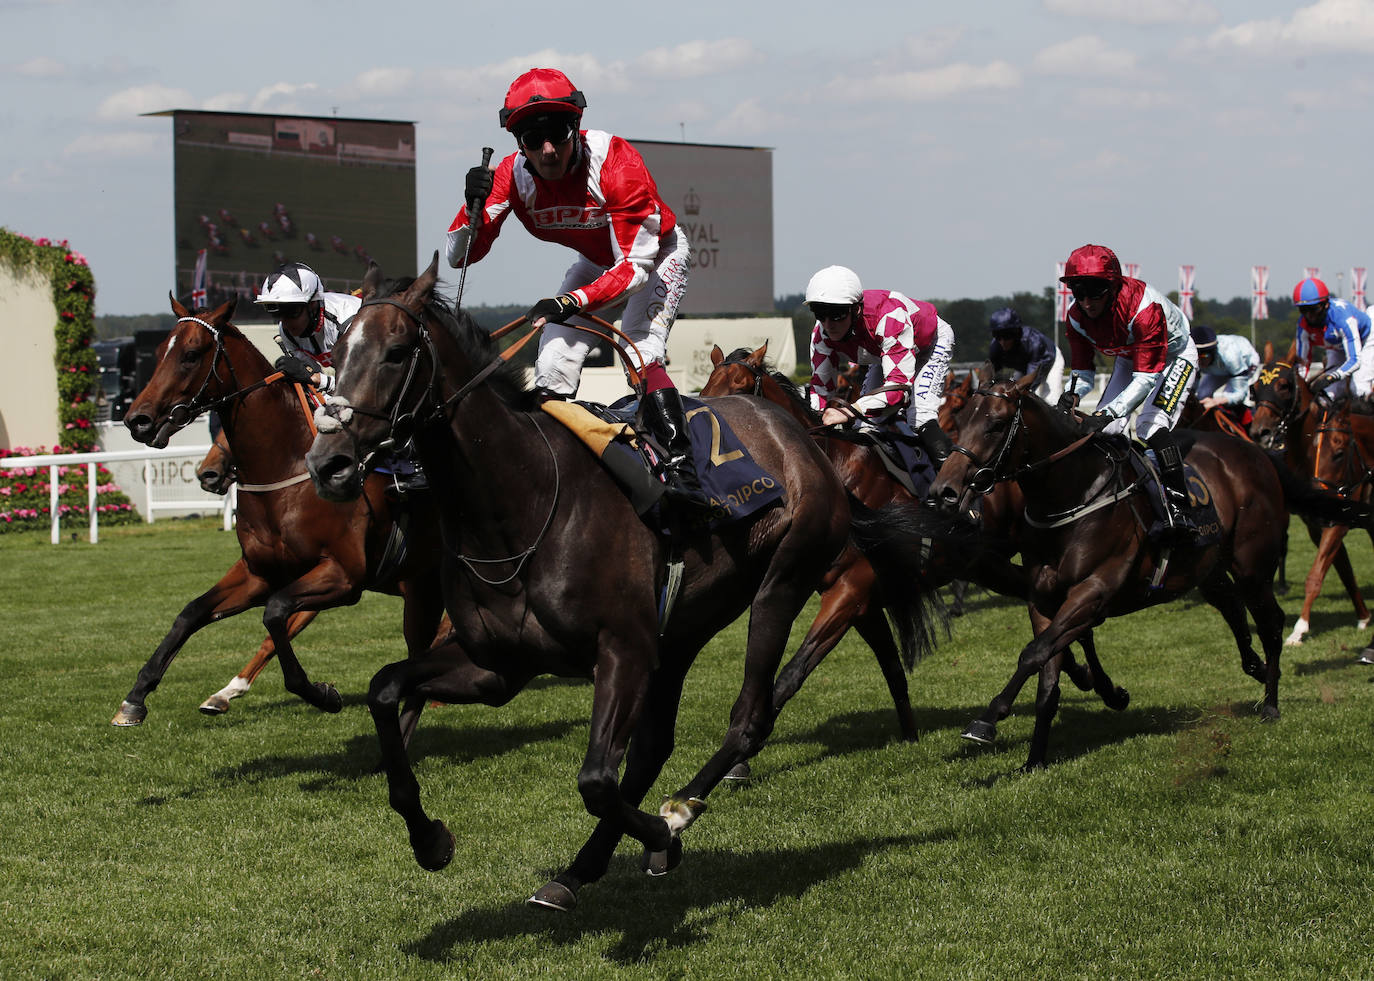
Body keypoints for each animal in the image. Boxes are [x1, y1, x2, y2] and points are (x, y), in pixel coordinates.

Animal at [114, 294, 445, 730]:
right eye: (156, 354)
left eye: (191, 354)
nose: (138, 420)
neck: (286, 469)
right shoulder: (260, 573)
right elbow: (191, 613)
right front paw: (136, 697)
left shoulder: (343, 574)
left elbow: (274, 615)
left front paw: (322, 694)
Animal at [305, 254, 939, 906]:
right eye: (335, 353)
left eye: (396, 352)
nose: (328, 464)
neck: (520, 504)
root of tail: (805, 440)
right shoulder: (497, 666)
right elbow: (384, 688)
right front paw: (430, 839)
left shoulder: (624, 649)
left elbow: (595, 781)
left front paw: (664, 834)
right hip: (683, 627)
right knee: (655, 746)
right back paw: (581, 869)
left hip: (781, 583)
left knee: (749, 717)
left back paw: (680, 810)